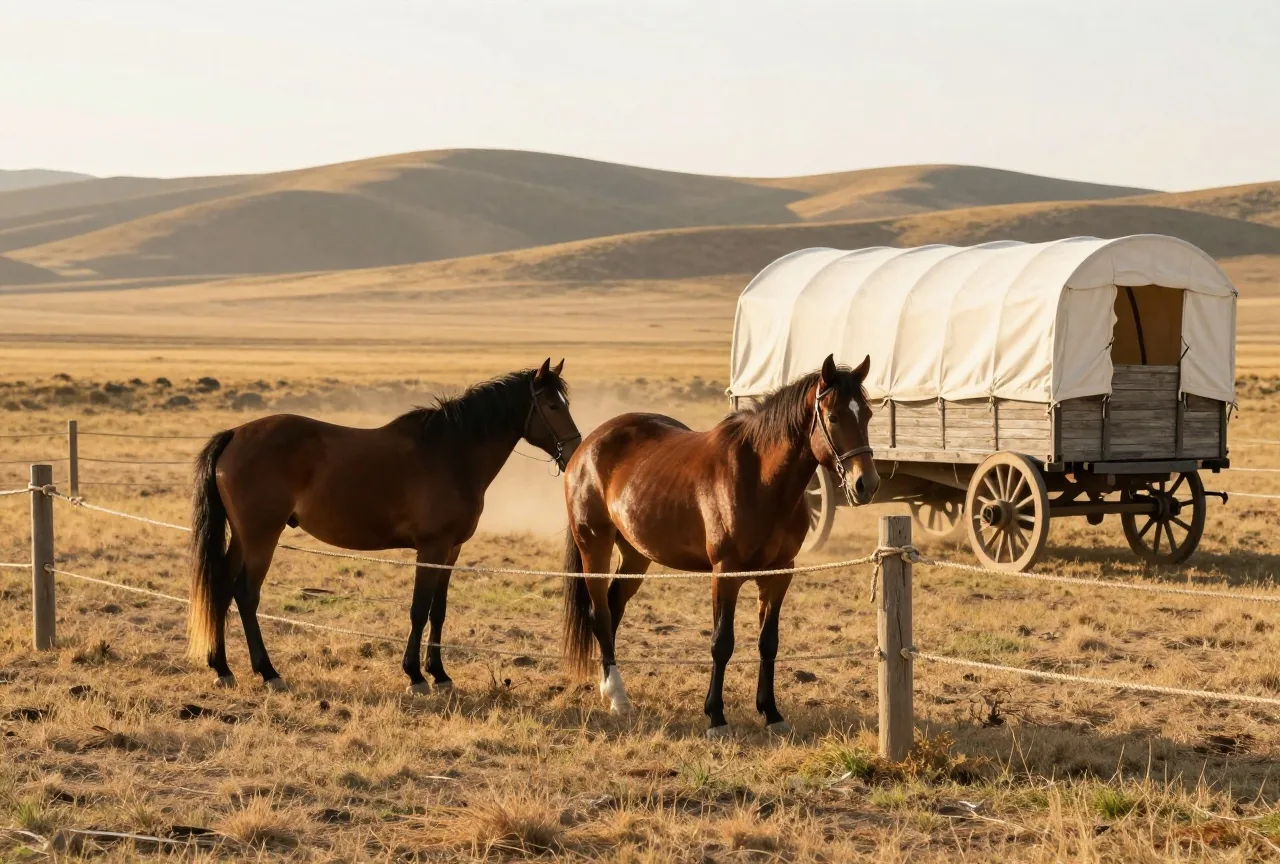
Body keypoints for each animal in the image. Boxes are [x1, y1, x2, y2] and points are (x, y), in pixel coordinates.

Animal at [186, 359, 581, 693]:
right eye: (553, 406)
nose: (574, 452)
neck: (451, 454)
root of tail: (235, 434)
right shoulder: (432, 547)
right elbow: (419, 609)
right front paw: (416, 676)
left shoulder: (451, 550)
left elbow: (438, 611)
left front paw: (440, 674)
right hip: (261, 538)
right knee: (245, 595)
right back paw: (268, 672)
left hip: (243, 538)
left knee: (221, 589)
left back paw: (223, 669)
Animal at [561, 354, 877, 738]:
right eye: (833, 417)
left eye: (867, 414)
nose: (866, 484)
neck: (762, 481)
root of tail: (587, 445)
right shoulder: (725, 574)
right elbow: (721, 642)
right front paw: (716, 716)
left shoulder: (779, 574)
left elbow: (768, 642)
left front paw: (771, 712)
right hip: (594, 546)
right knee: (601, 614)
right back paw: (618, 697)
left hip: (636, 554)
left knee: (612, 608)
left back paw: (609, 688)